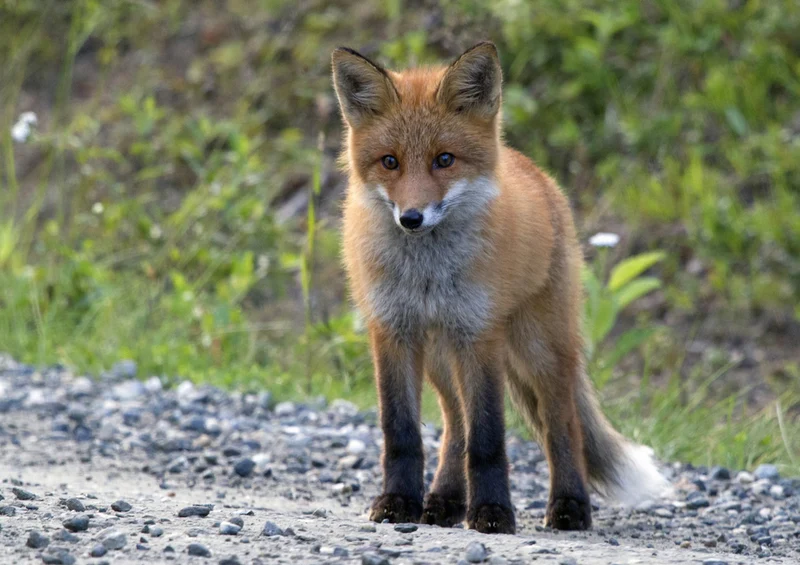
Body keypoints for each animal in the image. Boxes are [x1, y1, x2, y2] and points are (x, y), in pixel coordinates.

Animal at [330, 41, 670, 534]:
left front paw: (492, 512)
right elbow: (402, 433)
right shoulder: (393, 331)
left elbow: (489, 438)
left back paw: (569, 506)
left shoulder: (479, 334)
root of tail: (534, 170)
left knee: (562, 425)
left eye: (444, 159)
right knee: (455, 425)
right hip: (440, 355)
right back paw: (444, 501)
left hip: (537, 348)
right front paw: (398, 502)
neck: (427, 273)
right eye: (390, 161)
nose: (411, 218)